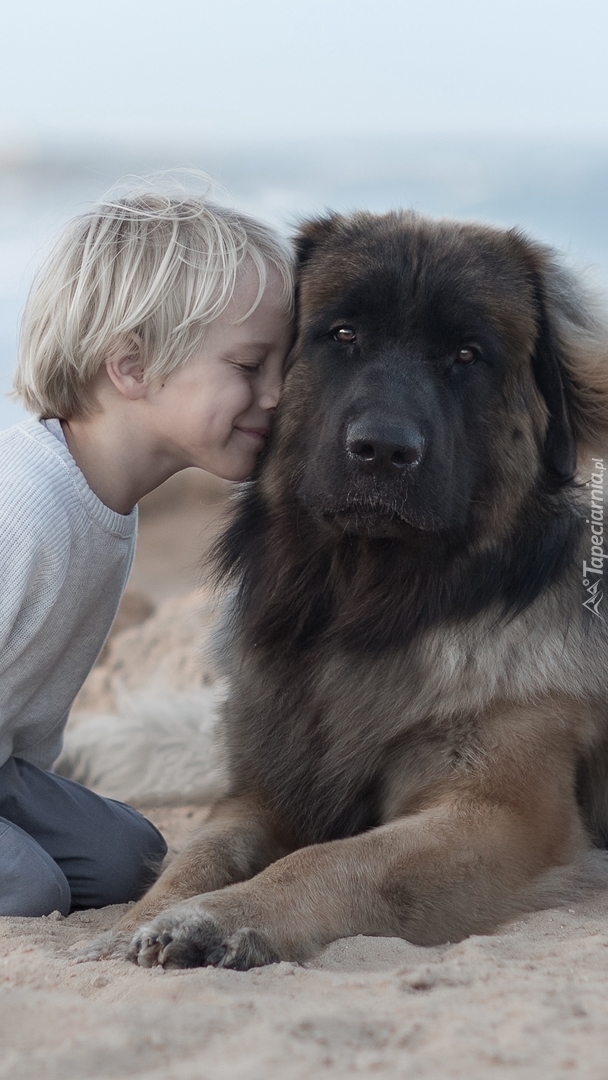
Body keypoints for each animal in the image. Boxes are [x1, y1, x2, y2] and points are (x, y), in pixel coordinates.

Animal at [91, 212, 608, 972]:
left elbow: (336, 861)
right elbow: (198, 853)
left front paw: (220, 918)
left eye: (466, 354)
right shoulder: (264, 791)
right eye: (342, 335)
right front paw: (137, 922)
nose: (383, 450)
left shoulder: (497, 814)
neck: (362, 614)